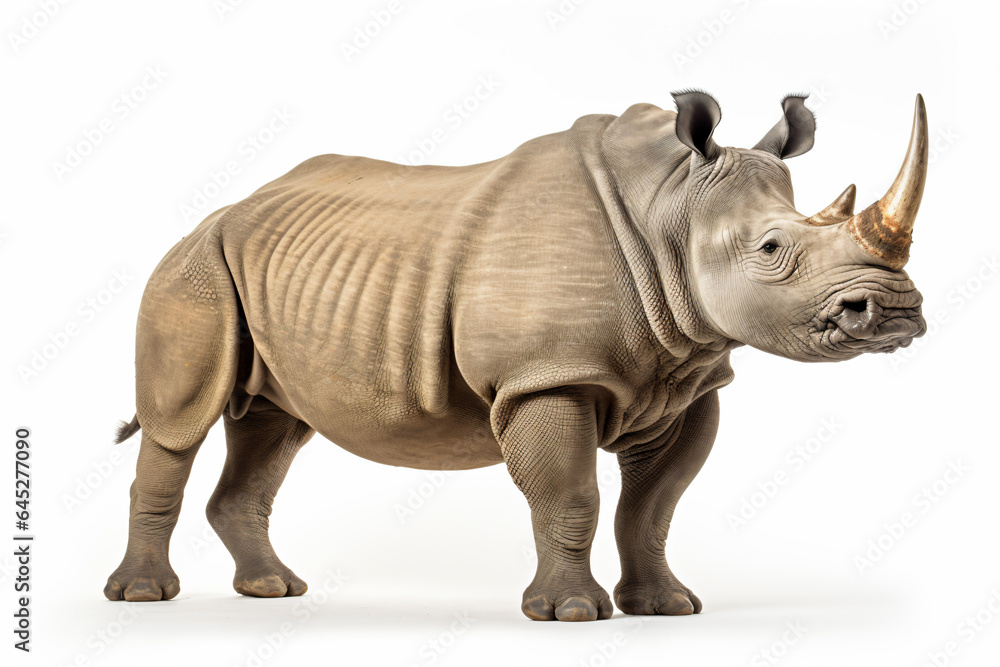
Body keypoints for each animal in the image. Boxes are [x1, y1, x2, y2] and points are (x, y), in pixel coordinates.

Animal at [105, 90, 924, 620]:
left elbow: (654, 504)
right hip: (194, 270)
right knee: (180, 422)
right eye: (773, 249)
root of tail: (218, 213)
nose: (894, 311)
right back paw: (145, 598)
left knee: (276, 426)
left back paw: (275, 592)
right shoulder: (546, 376)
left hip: (263, 274)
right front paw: (571, 614)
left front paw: (666, 607)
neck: (672, 205)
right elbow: (571, 494)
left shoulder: (687, 379)